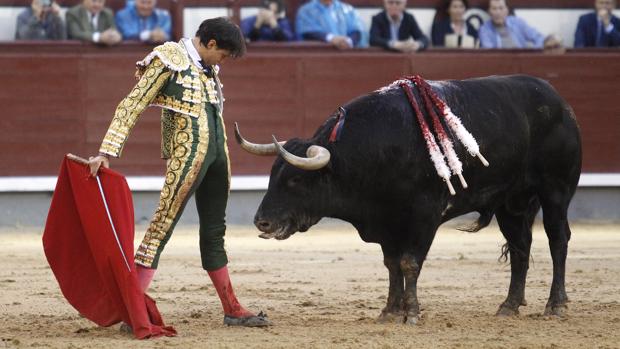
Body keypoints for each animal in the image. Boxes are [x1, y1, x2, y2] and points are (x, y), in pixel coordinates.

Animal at [236, 74, 580, 324]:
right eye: (272, 175)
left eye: (295, 179)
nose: (261, 221)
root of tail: (559, 101)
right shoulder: (387, 223)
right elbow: (391, 265)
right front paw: (390, 311)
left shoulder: (424, 216)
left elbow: (409, 262)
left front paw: (411, 312)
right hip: (511, 202)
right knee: (521, 247)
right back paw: (509, 306)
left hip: (556, 190)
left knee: (557, 239)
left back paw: (556, 305)